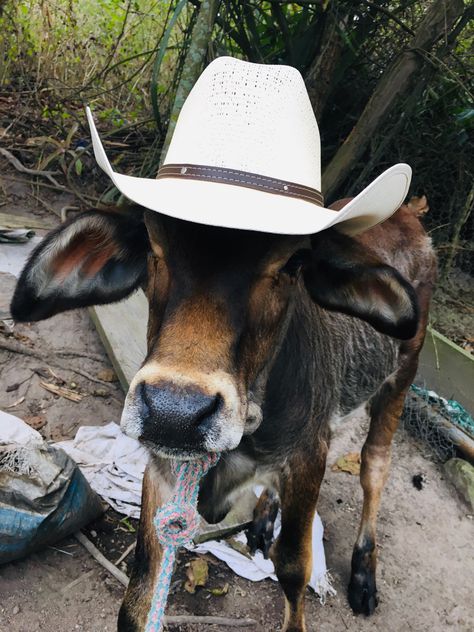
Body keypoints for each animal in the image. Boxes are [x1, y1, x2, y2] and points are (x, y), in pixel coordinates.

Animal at [11, 195, 436, 628]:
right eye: (152, 242)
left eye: (294, 262)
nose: (174, 414)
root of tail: (408, 214)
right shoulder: (162, 470)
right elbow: (139, 593)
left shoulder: (308, 456)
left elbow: (293, 566)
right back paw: (263, 519)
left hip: (402, 377)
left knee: (375, 465)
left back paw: (364, 570)